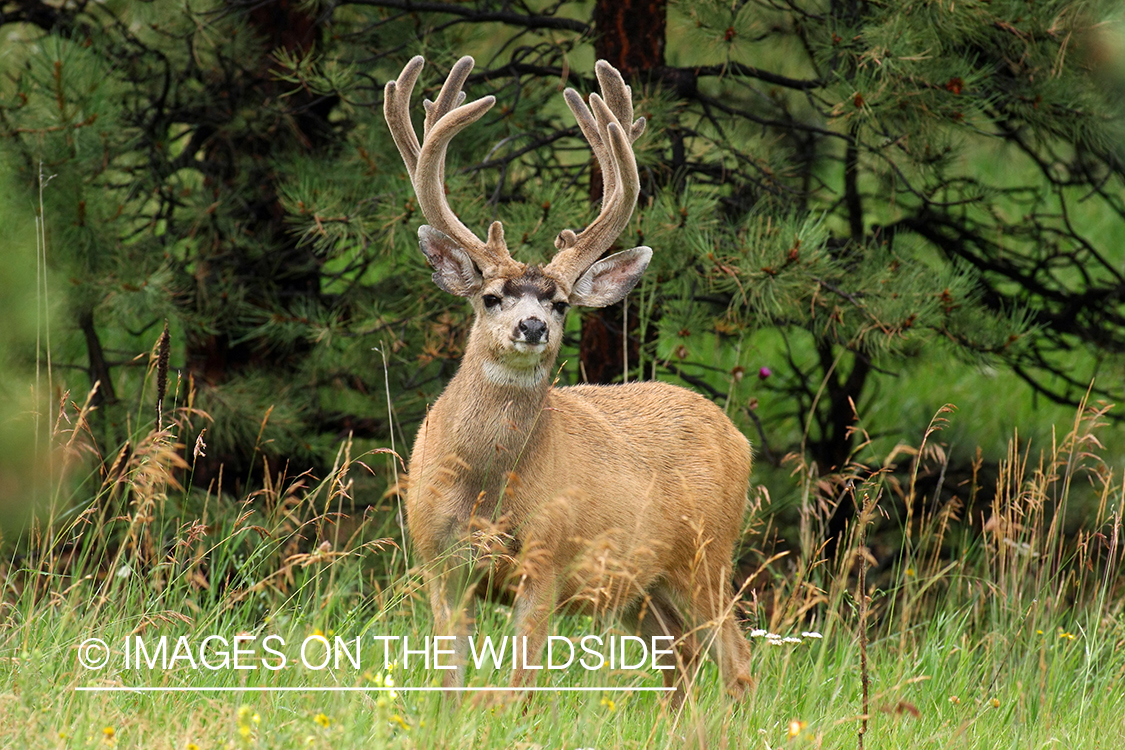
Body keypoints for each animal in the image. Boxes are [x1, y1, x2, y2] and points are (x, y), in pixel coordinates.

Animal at [387, 55, 756, 706]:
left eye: (560, 303)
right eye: (491, 297)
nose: (533, 326)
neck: (485, 487)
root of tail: (739, 437)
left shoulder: (549, 557)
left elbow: (519, 685)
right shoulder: (439, 561)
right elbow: (450, 685)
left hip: (706, 555)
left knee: (737, 663)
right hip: (644, 586)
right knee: (680, 666)